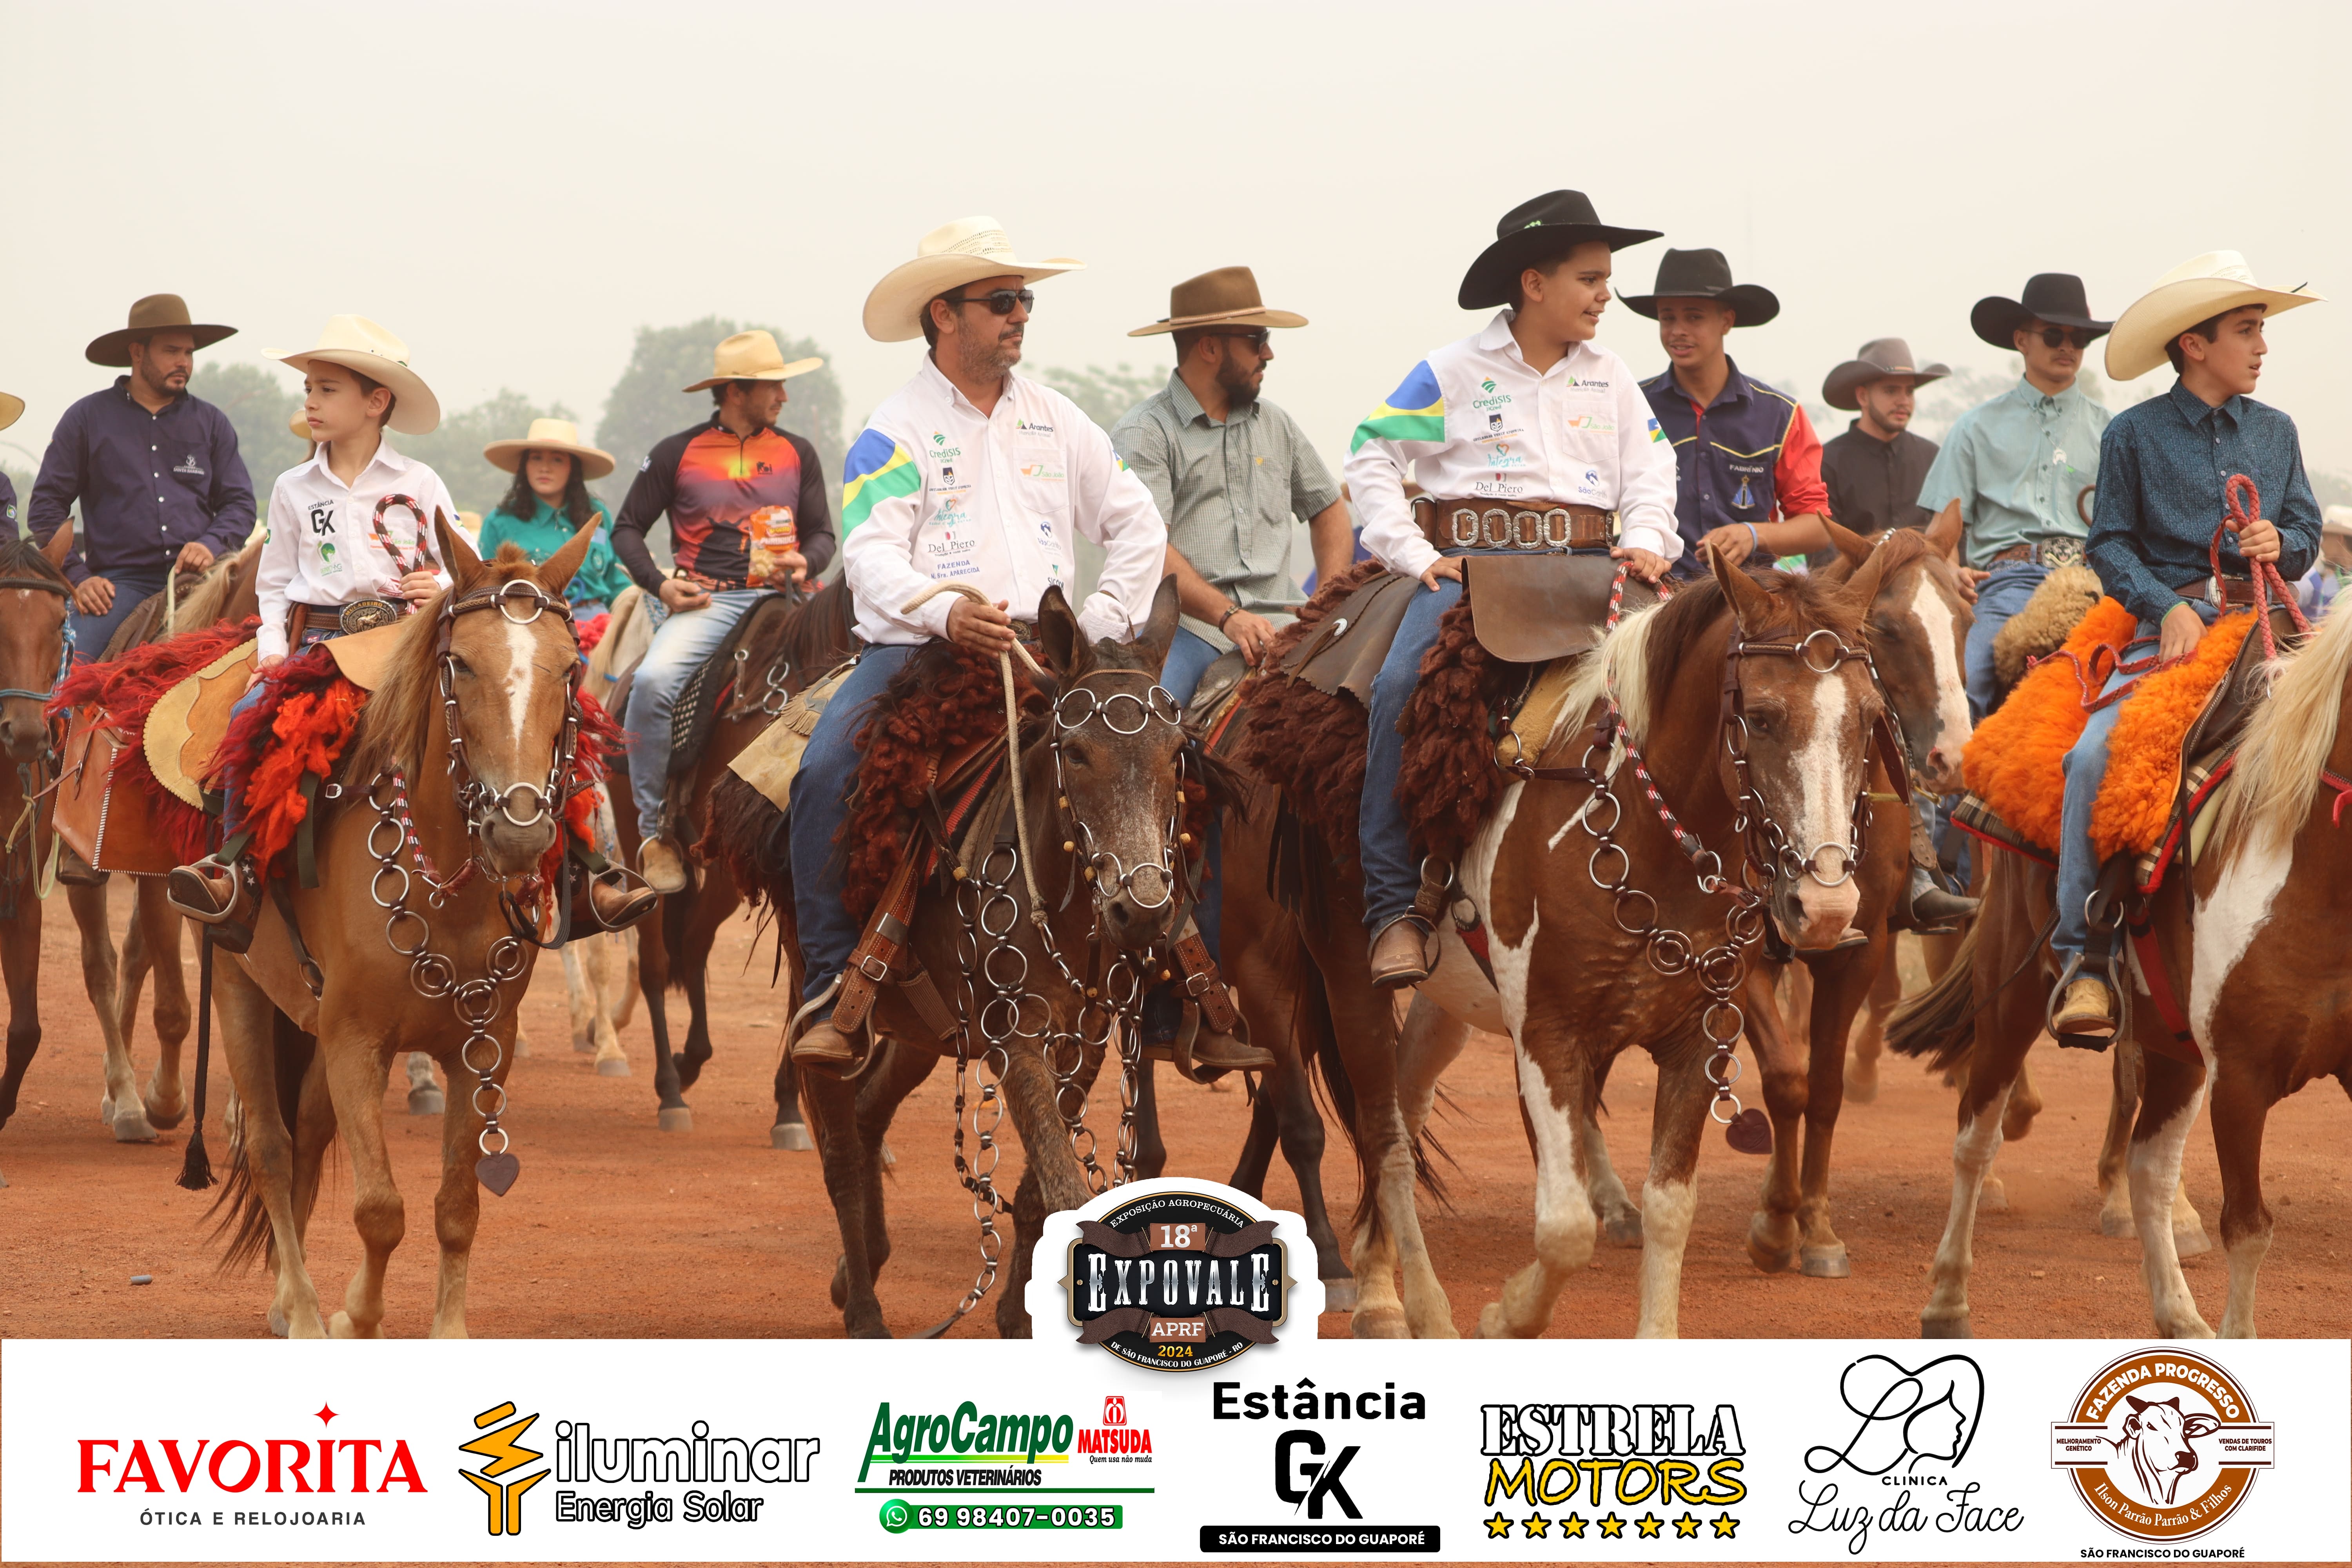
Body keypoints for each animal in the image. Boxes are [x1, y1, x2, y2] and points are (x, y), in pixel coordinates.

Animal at [208, 518, 604, 1338]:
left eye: (569, 669)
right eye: (462, 664)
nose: (520, 829)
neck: (446, 887)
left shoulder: (483, 1046)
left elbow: (457, 1205)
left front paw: (444, 1328)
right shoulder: (358, 1040)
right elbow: (380, 1209)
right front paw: (355, 1316)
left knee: (307, 1135)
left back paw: (286, 1300)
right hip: (240, 986)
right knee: (269, 1145)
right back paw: (302, 1310)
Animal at [707, 578, 1192, 1337]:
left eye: (1176, 751)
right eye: (1076, 750)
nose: (1141, 911)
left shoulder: (1083, 1042)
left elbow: (1036, 1191)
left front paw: (1015, 1316)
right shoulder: (1014, 1036)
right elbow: (1061, 1184)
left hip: (921, 1025)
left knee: (869, 1113)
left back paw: (860, 1266)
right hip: (819, 1000)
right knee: (840, 1148)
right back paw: (866, 1313)